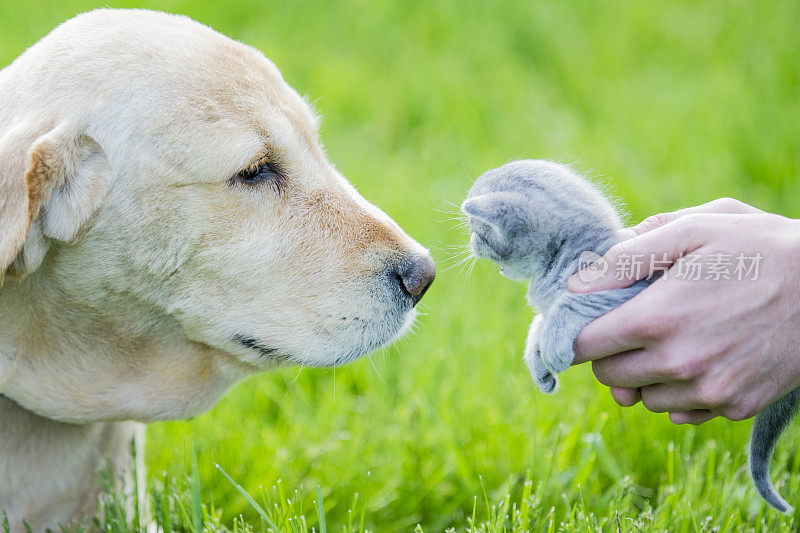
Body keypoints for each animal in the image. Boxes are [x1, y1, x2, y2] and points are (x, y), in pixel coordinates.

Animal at [460, 159, 796, 516]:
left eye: (478, 230)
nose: (471, 244)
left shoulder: (621, 285)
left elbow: (572, 303)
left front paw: (553, 347)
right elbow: (538, 322)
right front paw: (538, 360)